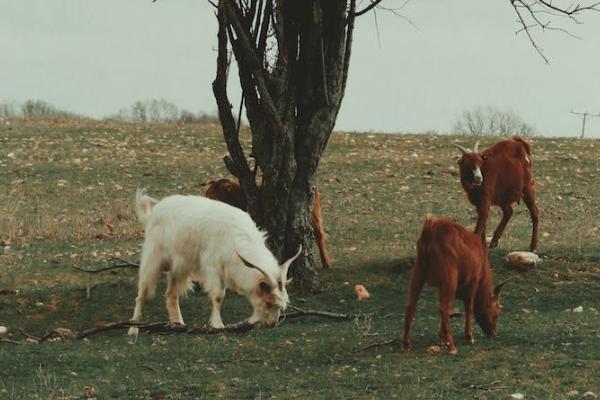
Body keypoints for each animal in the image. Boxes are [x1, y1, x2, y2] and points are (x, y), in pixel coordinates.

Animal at [129, 190, 302, 332]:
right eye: (269, 302)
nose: (271, 324)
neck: (237, 240)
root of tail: (153, 213)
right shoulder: (213, 267)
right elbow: (218, 296)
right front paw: (218, 325)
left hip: (179, 267)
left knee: (171, 295)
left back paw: (179, 324)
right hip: (153, 259)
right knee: (141, 293)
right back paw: (133, 328)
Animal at [404, 216, 506, 354]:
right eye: (498, 311)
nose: (493, 333)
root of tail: (431, 228)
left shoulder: (441, 285)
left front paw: (441, 338)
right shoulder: (473, 281)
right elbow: (468, 308)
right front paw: (469, 337)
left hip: (418, 272)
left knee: (411, 306)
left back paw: (406, 344)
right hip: (450, 278)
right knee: (444, 308)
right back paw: (452, 347)